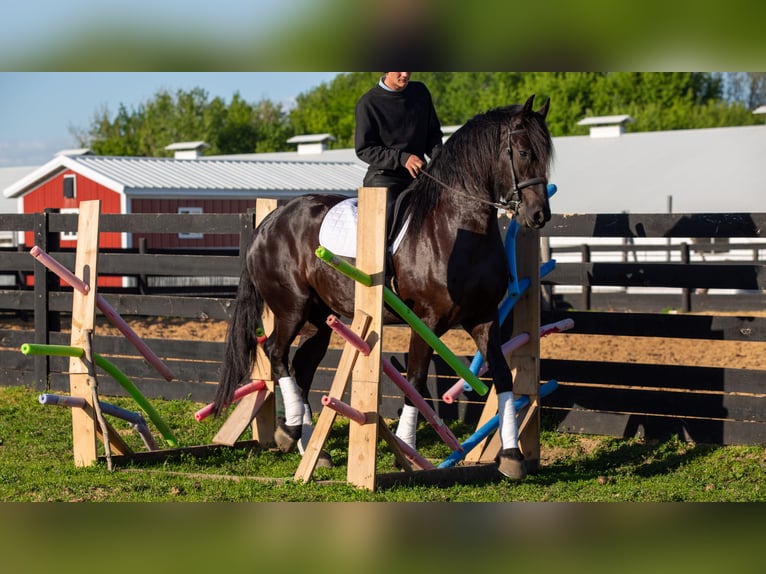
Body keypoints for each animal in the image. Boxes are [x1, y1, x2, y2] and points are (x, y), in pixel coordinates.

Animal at [213, 95, 553, 479]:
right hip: (291, 309)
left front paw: (511, 455)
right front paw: (406, 449)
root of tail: (271, 219)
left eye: (546, 155)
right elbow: (416, 382)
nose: (539, 216)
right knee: (276, 352)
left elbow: (503, 377)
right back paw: (291, 432)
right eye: (523, 152)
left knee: (302, 366)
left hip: (319, 320)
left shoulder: (484, 320)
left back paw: (309, 445)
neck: (460, 229)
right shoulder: (428, 322)